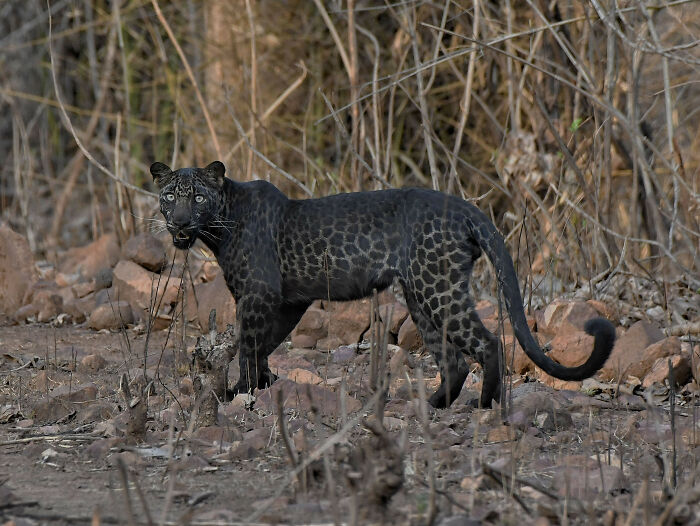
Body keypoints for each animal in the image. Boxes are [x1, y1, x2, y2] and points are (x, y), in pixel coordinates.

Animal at [151, 160, 616, 408]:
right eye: (169, 196)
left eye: (197, 197)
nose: (179, 222)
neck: (219, 226)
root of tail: (466, 207)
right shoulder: (288, 300)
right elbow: (264, 344)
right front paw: (262, 385)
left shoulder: (258, 295)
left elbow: (249, 345)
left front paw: (240, 392)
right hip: (421, 296)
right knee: (453, 359)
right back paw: (431, 407)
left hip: (437, 288)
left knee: (487, 344)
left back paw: (485, 405)